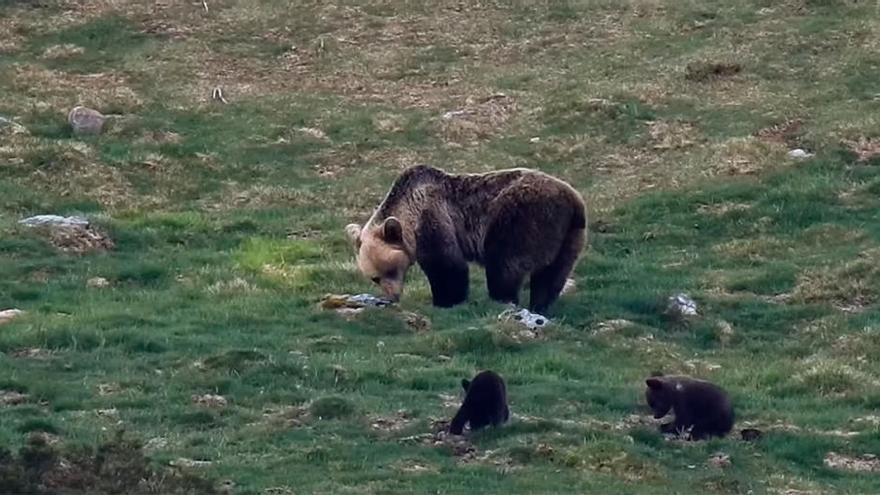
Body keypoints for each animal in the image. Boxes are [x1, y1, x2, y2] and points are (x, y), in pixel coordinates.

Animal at [344, 167, 584, 314]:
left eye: (389, 271)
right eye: (374, 278)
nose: (392, 297)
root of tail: (573, 201)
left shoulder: (433, 218)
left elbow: (447, 265)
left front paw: (445, 301)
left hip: (521, 218)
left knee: (505, 264)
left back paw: (502, 299)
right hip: (570, 236)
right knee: (552, 274)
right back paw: (540, 305)